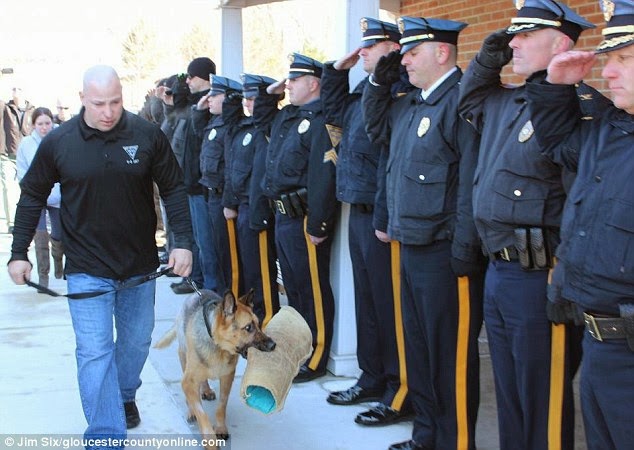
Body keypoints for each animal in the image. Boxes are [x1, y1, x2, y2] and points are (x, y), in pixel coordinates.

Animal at [154, 288, 276, 442]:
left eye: (259, 324)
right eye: (248, 327)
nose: (273, 345)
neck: (218, 346)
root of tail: (197, 291)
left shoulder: (227, 378)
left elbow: (221, 407)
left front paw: (220, 428)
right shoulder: (188, 381)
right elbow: (201, 412)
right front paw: (209, 439)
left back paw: (205, 389)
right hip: (184, 357)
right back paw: (191, 410)